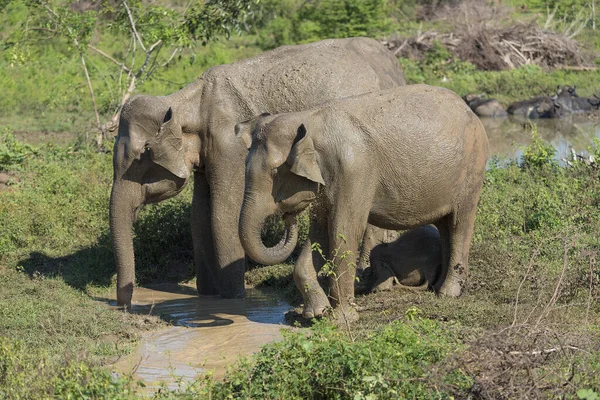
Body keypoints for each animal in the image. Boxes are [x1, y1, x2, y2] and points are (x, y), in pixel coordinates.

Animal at [109, 37, 406, 306]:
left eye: (141, 156)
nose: (125, 306)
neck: (190, 99)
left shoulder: (230, 146)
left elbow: (223, 213)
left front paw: (233, 301)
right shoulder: (209, 153)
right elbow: (200, 215)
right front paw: (208, 297)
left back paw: (369, 279)